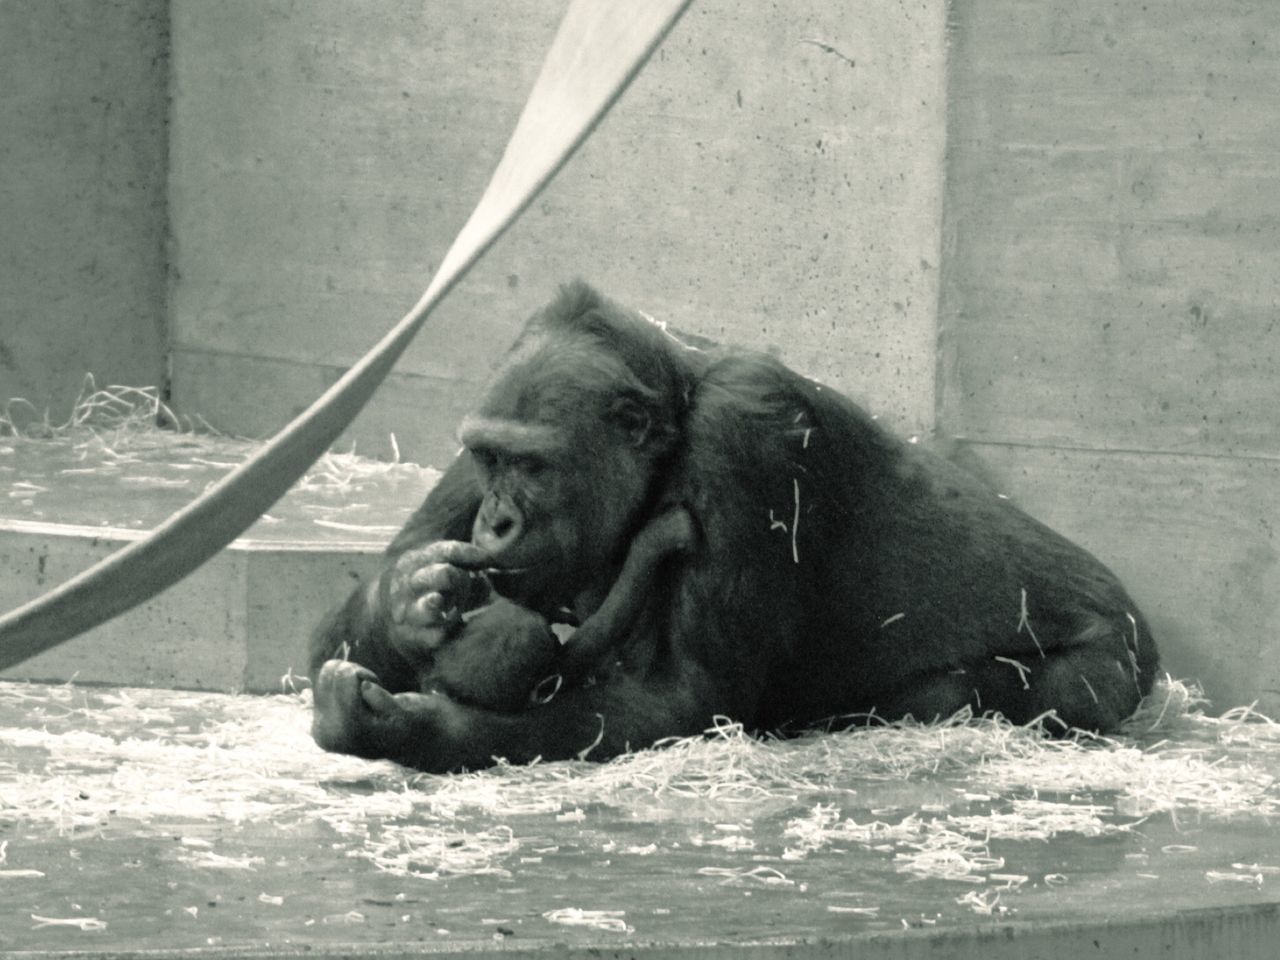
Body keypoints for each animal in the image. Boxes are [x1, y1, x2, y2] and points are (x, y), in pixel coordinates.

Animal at [309, 280, 1162, 773]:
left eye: (535, 467)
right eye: (490, 458)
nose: (496, 520)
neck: (671, 419)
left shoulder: (747, 433)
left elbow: (685, 699)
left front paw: (409, 729)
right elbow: (334, 634)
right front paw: (411, 597)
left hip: (1116, 650)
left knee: (1056, 688)